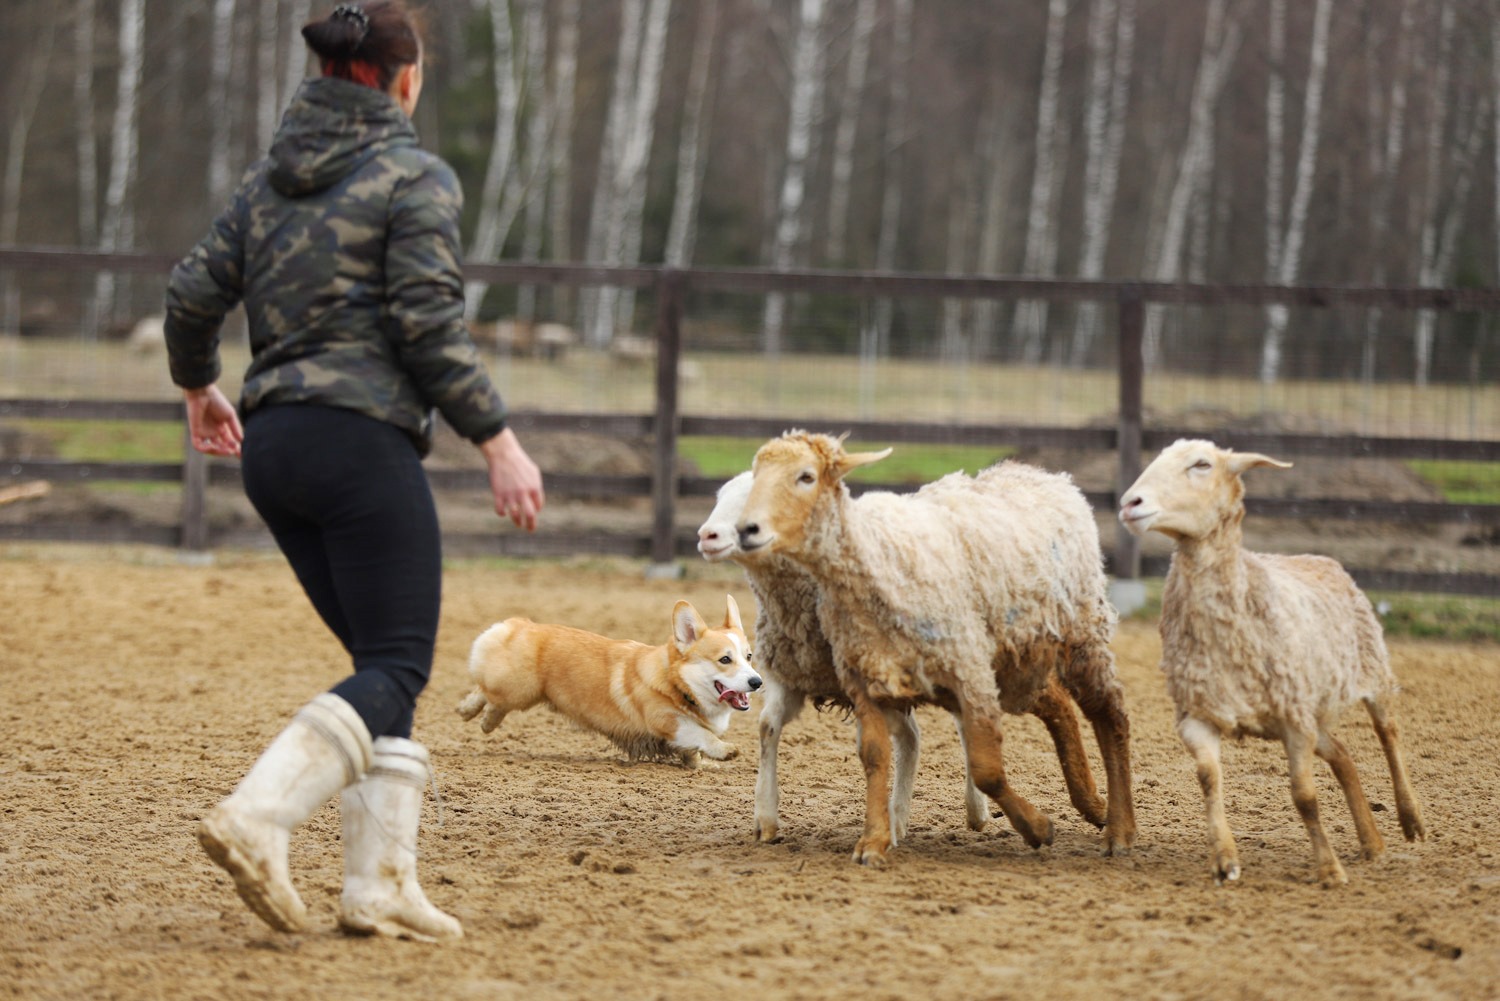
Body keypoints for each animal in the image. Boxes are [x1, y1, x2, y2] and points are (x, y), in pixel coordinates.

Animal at [456, 594, 762, 768]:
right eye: (725, 659)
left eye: (749, 656)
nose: (757, 682)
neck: (678, 685)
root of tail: (519, 624)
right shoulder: (667, 722)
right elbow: (702, 735)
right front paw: (725, 751)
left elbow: (694, 753)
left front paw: (703, 764)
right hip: (519, 689)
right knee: (488, 693)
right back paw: (476, 715)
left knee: (489, 696)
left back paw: (477, 716)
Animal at [732, 435, 1128, 864]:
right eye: (756, 474)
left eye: (806, 476)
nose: (746, 530)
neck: (875, 556)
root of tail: (1048, 477)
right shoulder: (864, 678)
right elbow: (874, 755)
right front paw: (873, 841)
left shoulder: (969, 670)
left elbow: (987, 769)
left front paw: (1037, 828)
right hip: (1018, 660)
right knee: (1060, 706)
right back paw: (1094, 805)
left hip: (1079, 634)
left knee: (1109, 714)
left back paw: (1119, 829)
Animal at [1116, 438, 1428, 882]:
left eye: (1201, 464)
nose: (1130, 503)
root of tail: (1320, 557)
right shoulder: (1200, 714)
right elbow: (1209, 779)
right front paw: (1225, 860)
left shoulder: (1293, 721)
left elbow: (1304, 796)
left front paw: (1329, 870)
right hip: (1311, 707)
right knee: (1344, 755)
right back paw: (1372, 842)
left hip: (1372, 673)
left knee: (1390, 735)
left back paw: (1410, 819)